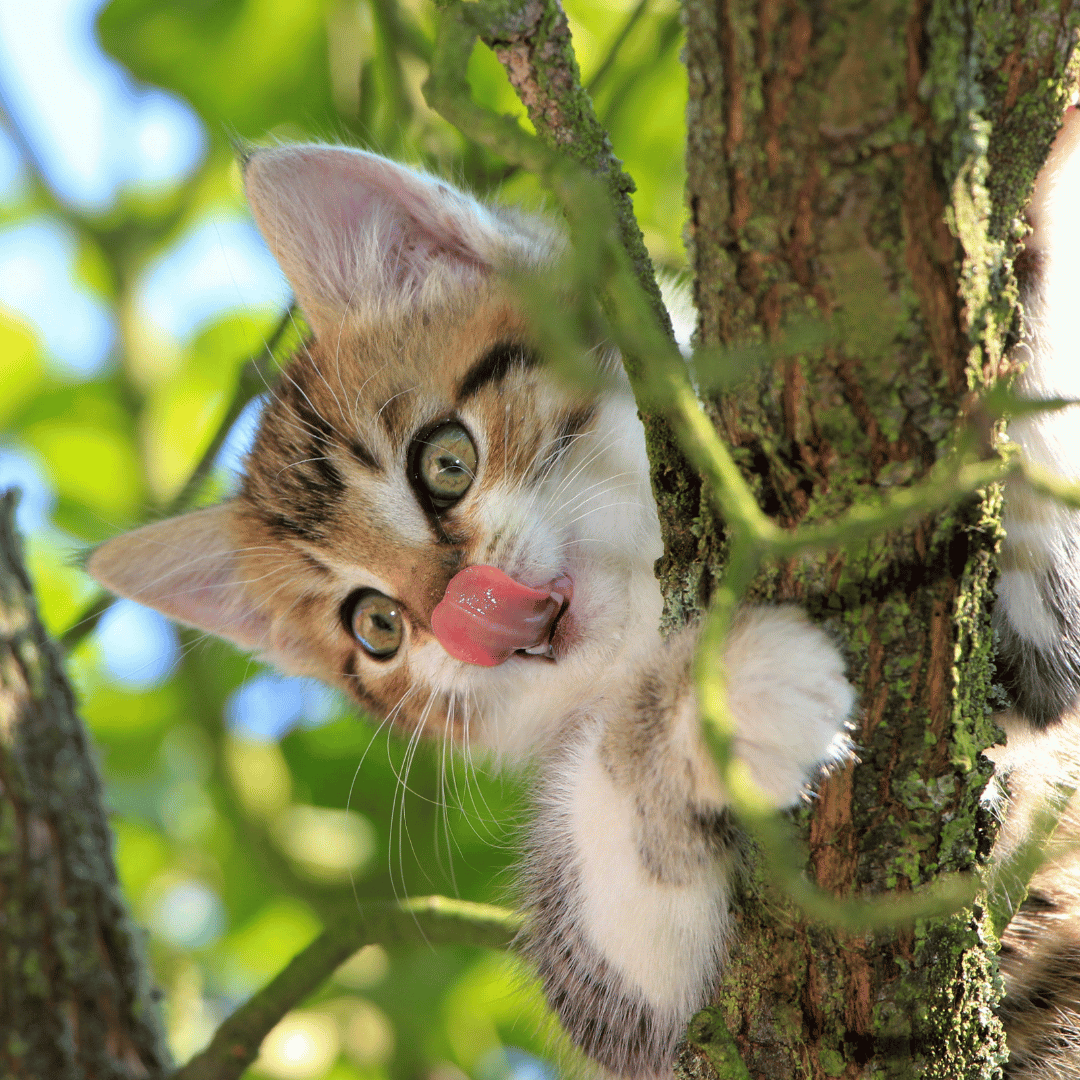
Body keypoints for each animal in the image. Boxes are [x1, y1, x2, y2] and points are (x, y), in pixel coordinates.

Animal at [88, 111, 1080, 1080]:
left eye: (445, 462)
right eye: (376, 627)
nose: (464, 622)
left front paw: (1020, 225)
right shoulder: (643, 1013)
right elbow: (627, 904)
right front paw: (718, 699)